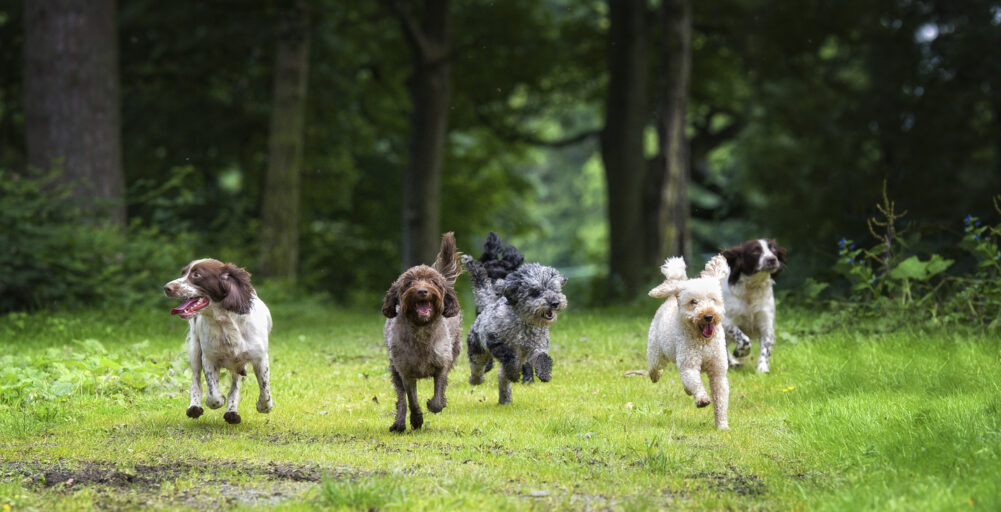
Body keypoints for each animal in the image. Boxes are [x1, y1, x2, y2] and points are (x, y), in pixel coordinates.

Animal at [380, 232, 462, 432]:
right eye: (409, 283)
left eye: (433, 282)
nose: (423, 291)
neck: (421, 330)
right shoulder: (405, 372)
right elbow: (411, 400)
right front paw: (416, 420)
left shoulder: (442, 364)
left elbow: (438, 395)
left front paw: (435, 404)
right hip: (394, 369)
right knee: (401, 399)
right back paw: (399, 423)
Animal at [458, 232, 564, 404]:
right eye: (535, 292)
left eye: (554, 289)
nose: (554, 303)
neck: (525, 323)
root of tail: (488, 304)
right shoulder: (494, 341)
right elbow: (509, 358)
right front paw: (514, 373)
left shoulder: (537, 347)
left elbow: (542, 358)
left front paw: (544, 374)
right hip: (477, 350)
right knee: (478, 368)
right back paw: (476, 380)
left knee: (502, 377)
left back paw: (505, 399)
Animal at [644, 255, 732, 428]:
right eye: (693, 302)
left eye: (713, 299)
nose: (708, 316)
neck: (704, 342)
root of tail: (672, 296)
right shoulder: (689, 365)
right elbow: (695, 382)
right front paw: (702, 399)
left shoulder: (718, 371)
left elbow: (721, 399)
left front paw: (722, 425)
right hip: (657, 351)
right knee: (655, 366)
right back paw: (654, 375)